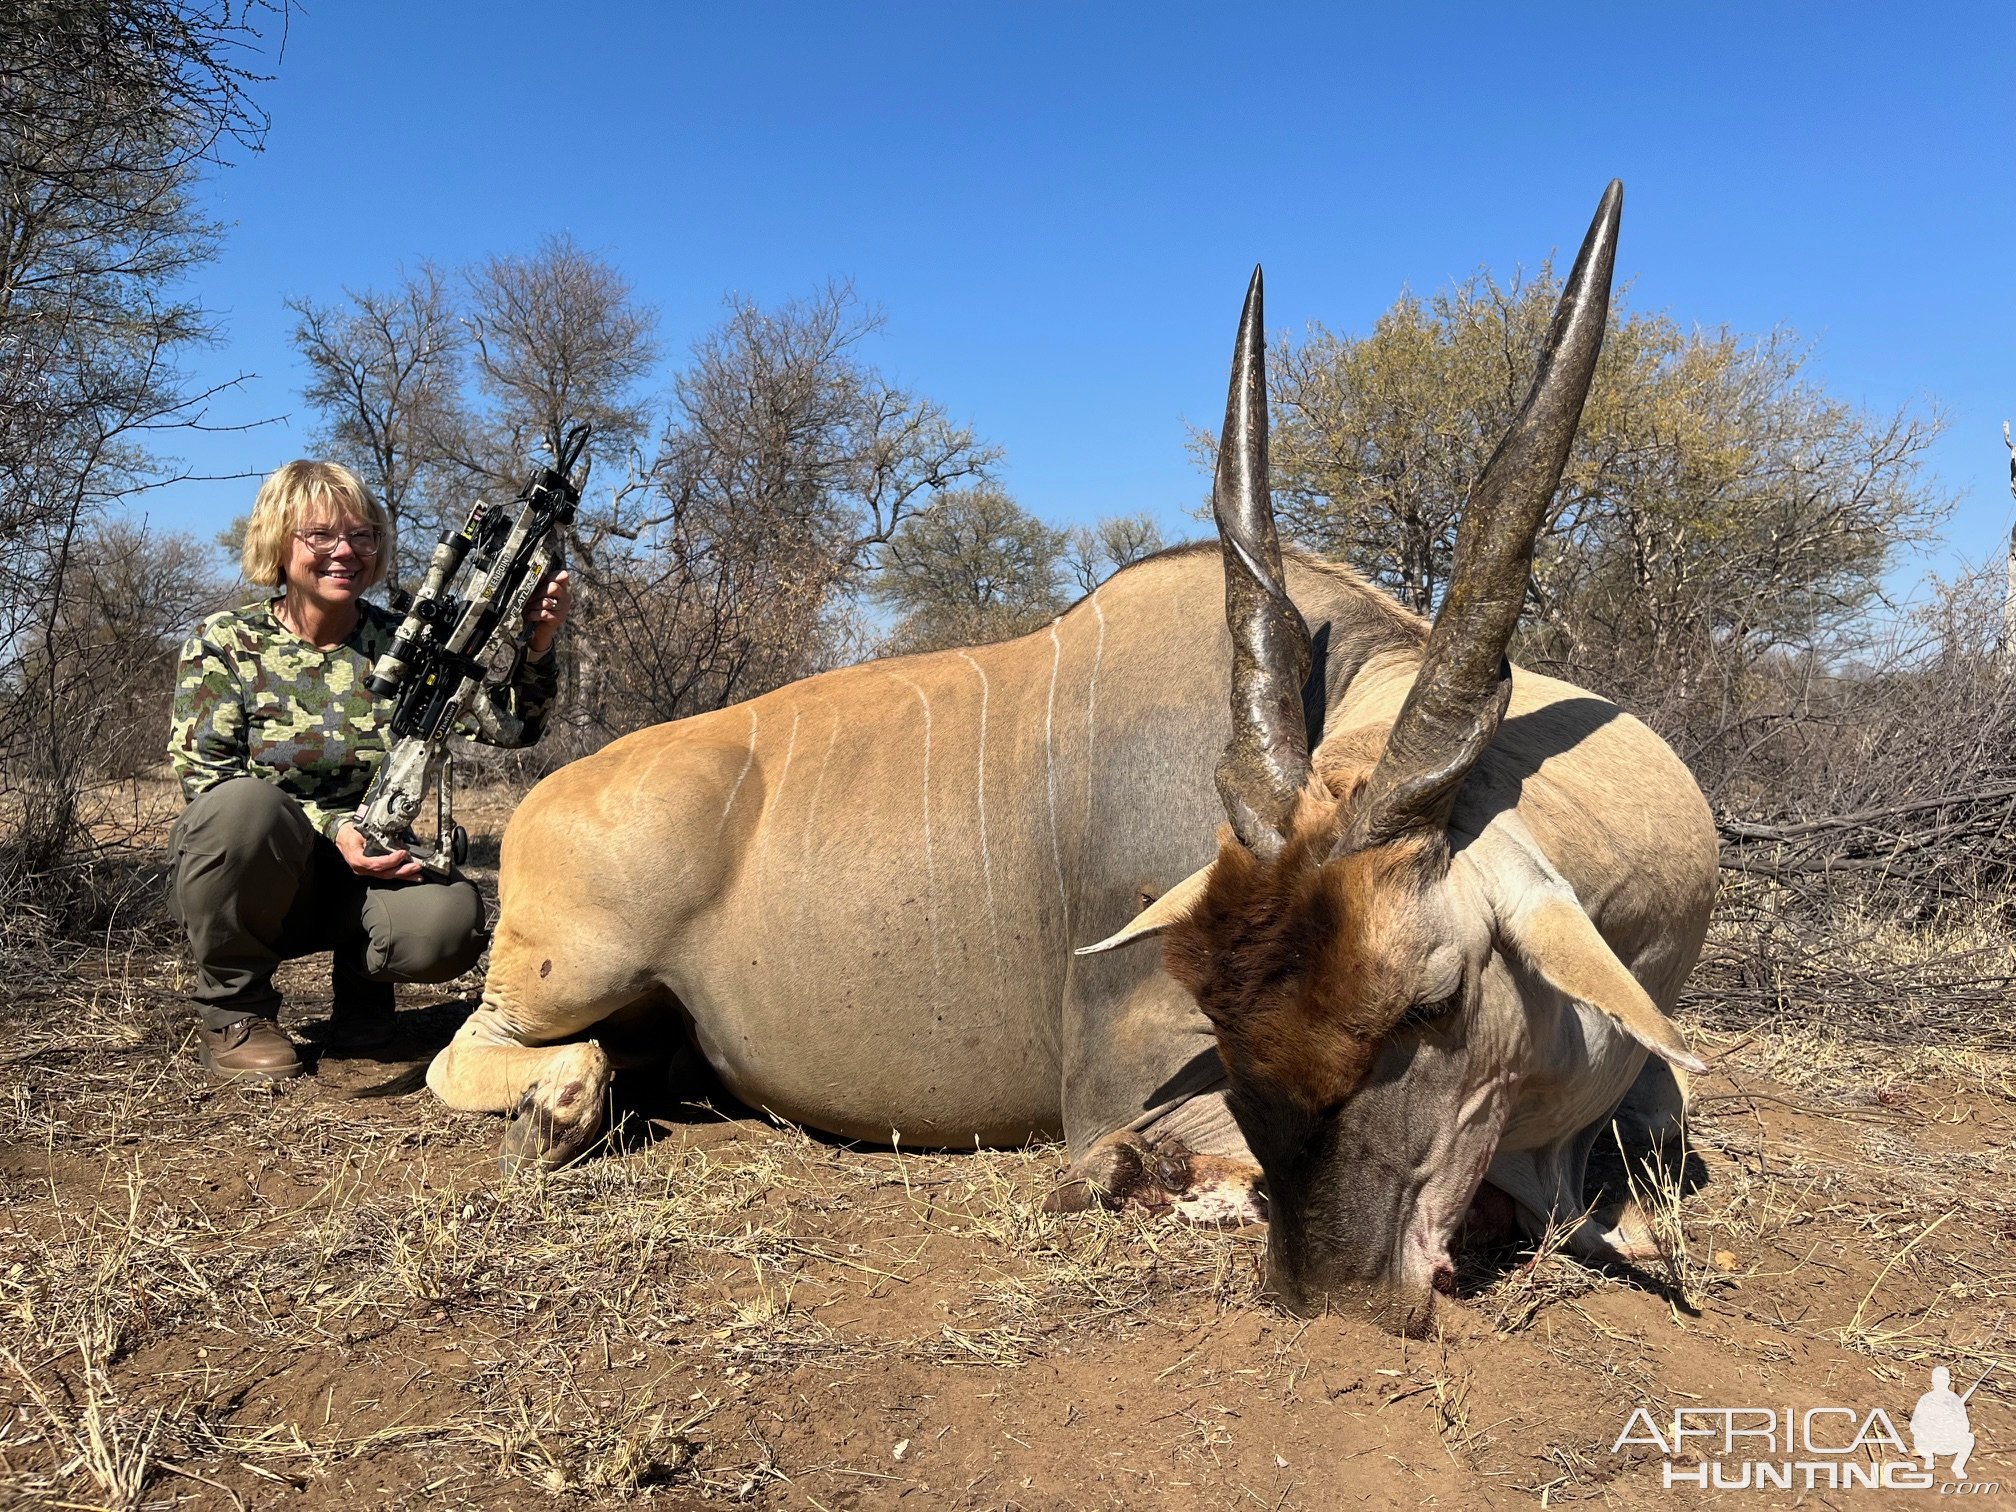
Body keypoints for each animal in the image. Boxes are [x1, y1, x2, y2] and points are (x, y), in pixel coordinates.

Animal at [429, 180, 1717, 1338]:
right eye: (1216, 1006)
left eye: (1439, 999)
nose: (1341, 1293)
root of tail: (546, 797)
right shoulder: (1124, 1091)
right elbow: (1133, 1163)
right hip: (567, 975)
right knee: (489, 1054)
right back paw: (553, 1113)